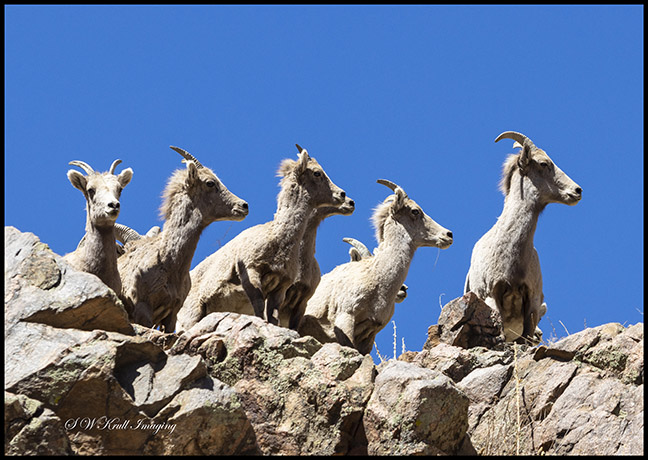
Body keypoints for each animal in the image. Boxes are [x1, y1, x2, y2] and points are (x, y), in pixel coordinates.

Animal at [176, 145, 347, 331]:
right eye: (317, 173)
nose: (343, 195)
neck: (277, 240)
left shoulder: (280, 289)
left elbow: (272, 317)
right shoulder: (252, 274)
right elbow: (259, 310)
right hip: (190, 316)